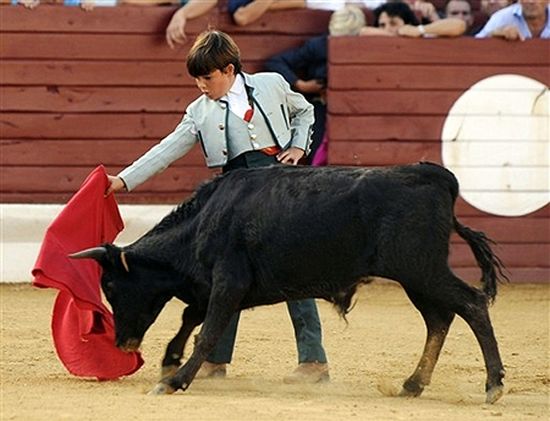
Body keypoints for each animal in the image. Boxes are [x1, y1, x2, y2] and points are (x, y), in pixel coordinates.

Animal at [70, 162, 508, 402]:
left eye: (111, 287)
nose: (121, 343)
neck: (205, 220)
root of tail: (436, 175)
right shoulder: (217, 288)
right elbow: (191, 318)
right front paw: (171, 360)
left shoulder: (228, 282)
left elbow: (206, 330)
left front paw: (174, 380)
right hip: (417, 277)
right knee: (439, 319)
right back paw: (413, 384)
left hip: (421, 269)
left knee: (470, 304)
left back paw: (493, 385)